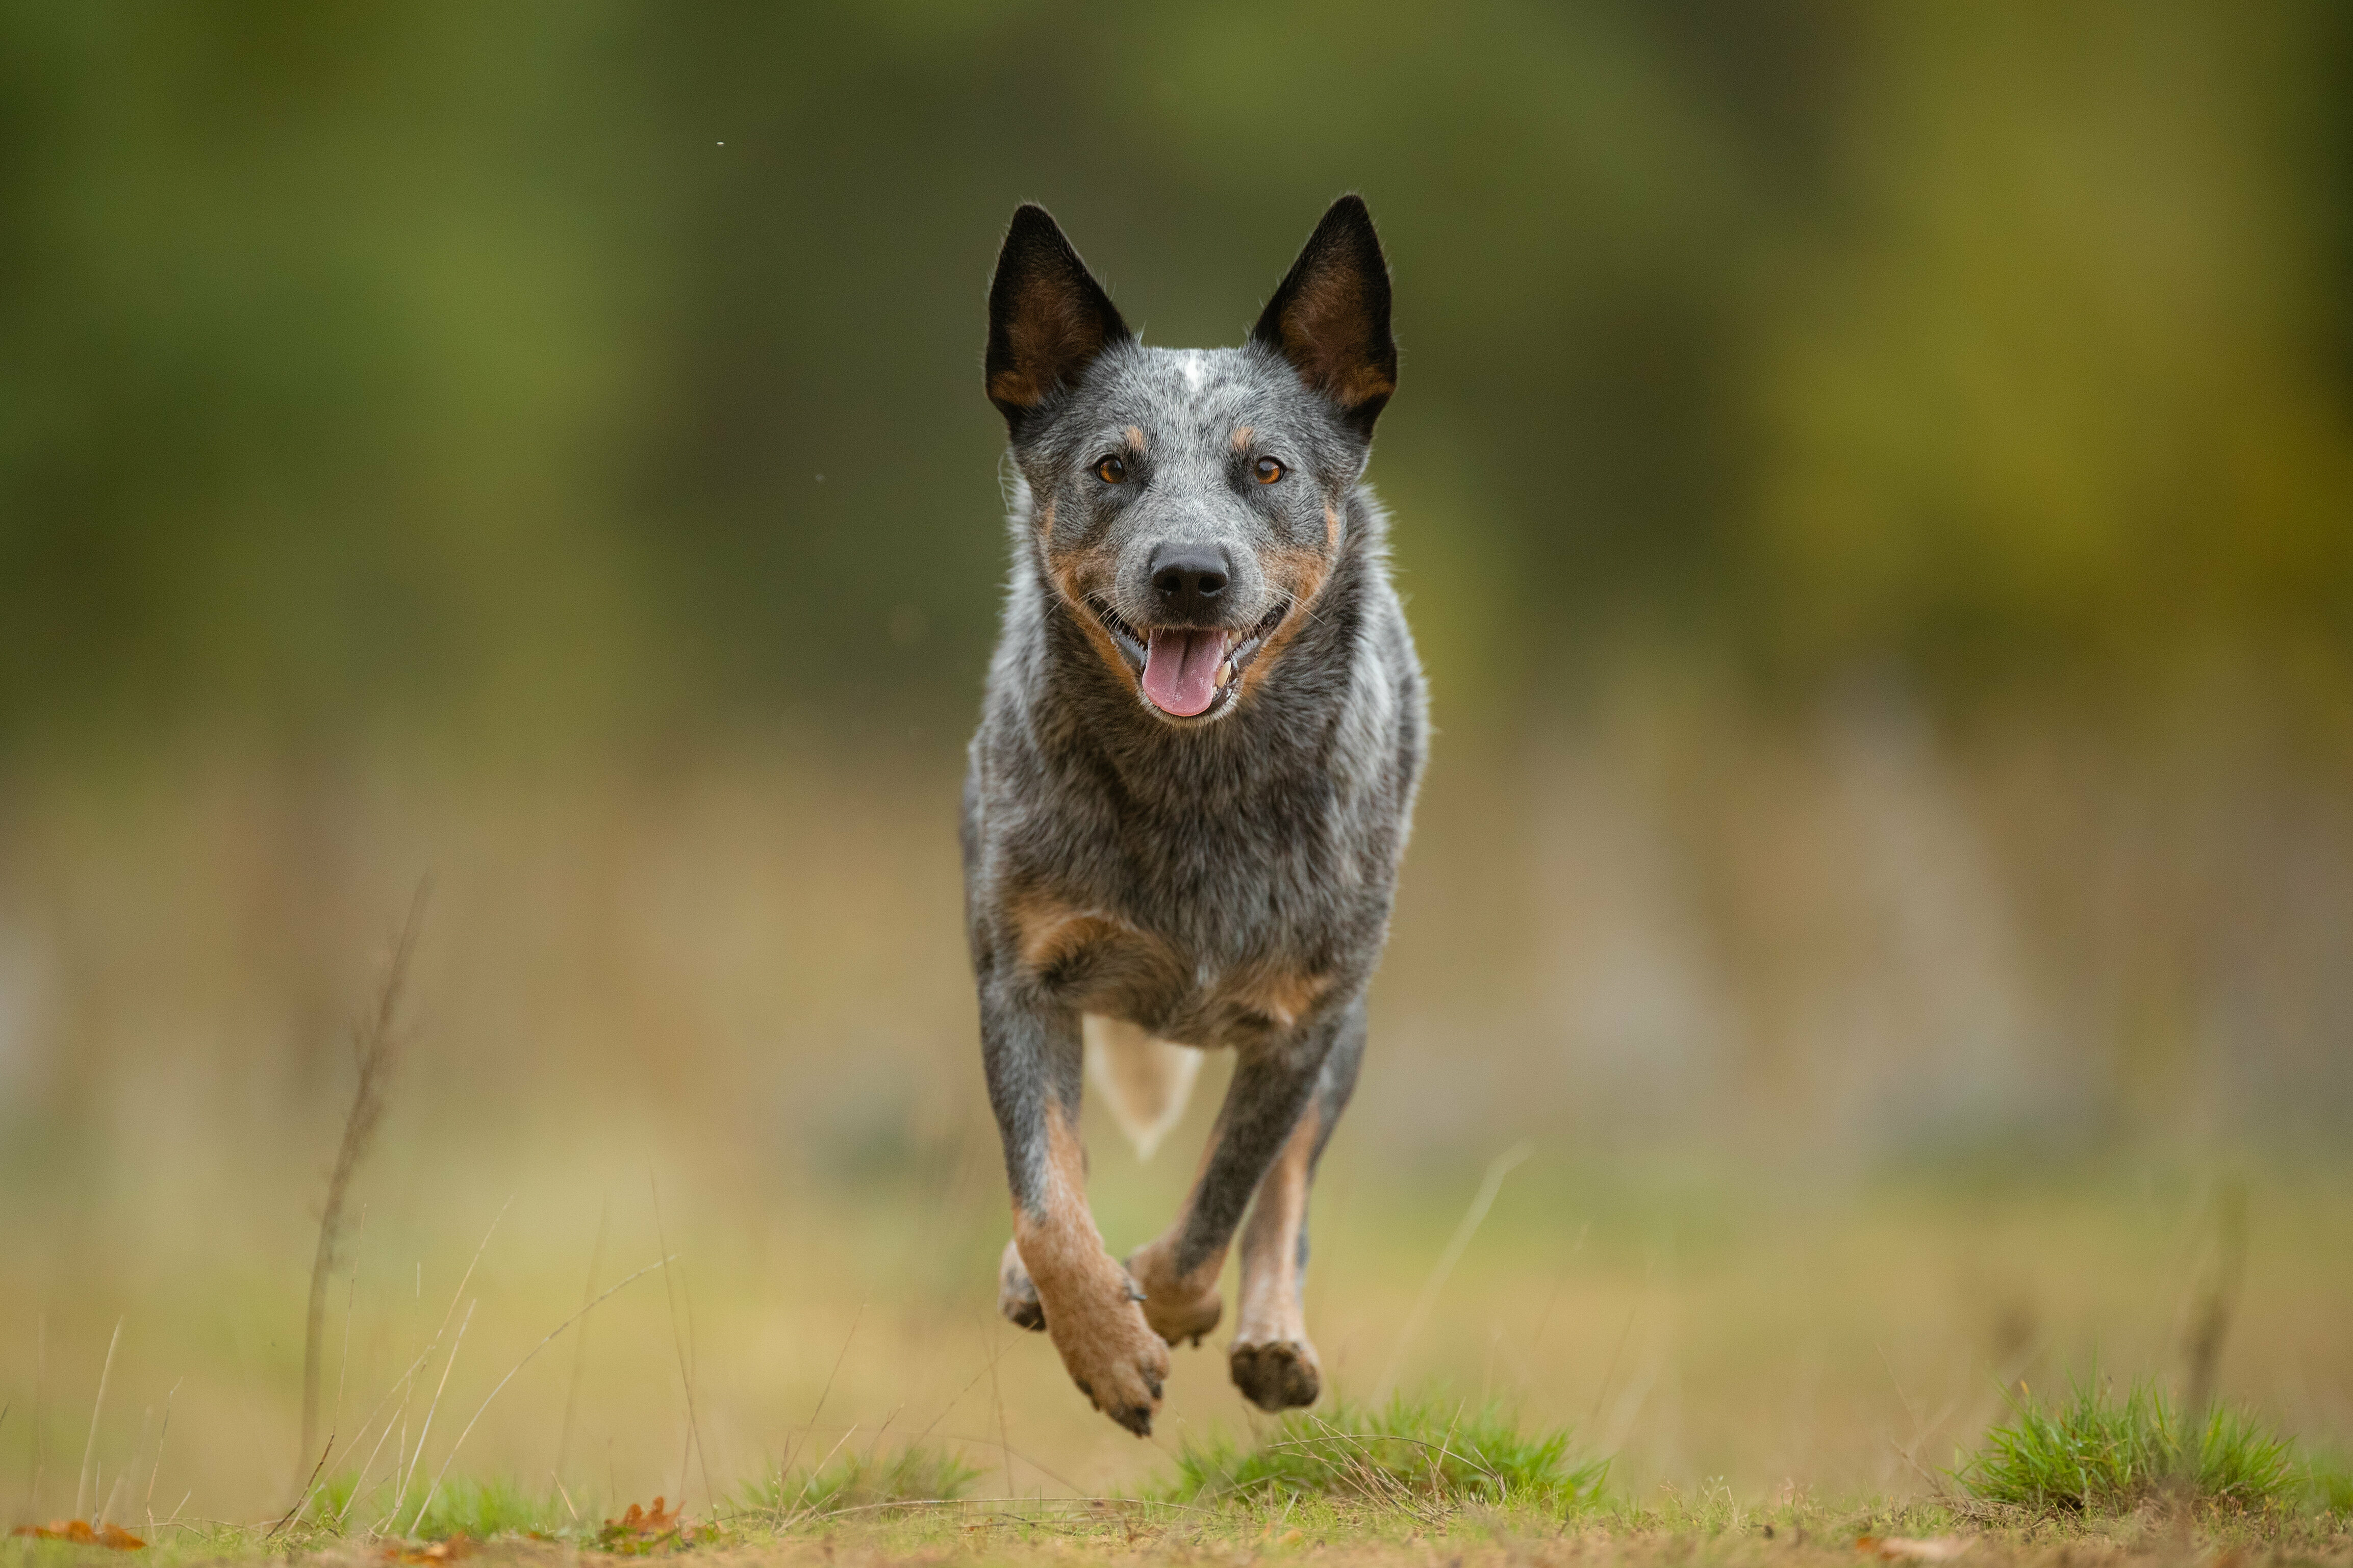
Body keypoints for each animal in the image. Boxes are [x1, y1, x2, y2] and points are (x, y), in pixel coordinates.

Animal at [960, 193, 1430, 1438]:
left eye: (1264, 467)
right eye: (1111, 466)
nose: (1187, 573)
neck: (1195, 793)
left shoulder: (1305, 1024)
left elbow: (1221, 1205)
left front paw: (1166, 1312)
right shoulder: (1020, 972)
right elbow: (1046, 1197)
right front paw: (1104, 1344)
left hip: (1347, 1031)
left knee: (1284, 1192)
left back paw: (1270, 1337)